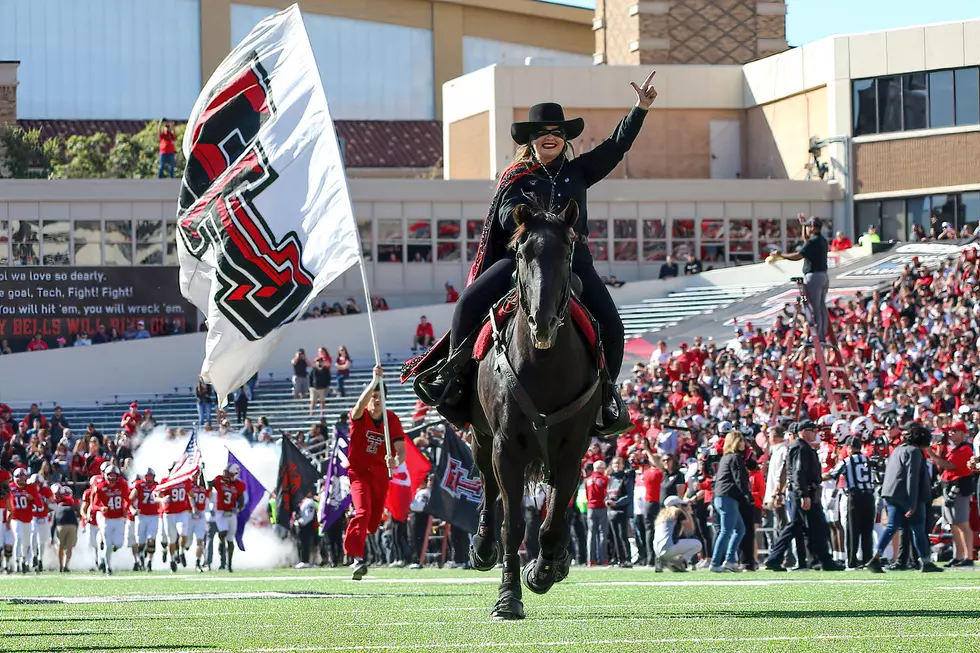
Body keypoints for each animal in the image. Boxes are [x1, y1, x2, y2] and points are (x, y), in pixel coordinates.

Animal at [466, 201, 596, 620]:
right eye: (522, 254)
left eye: (567, 251)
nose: (543, 322)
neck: (544, 364)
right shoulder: (506, 447)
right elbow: (513, 526)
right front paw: (508, 597)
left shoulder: (571, 450)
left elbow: (552, 522)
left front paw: (542, 570)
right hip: (481, 437)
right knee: (488, 487)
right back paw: (482, 547)